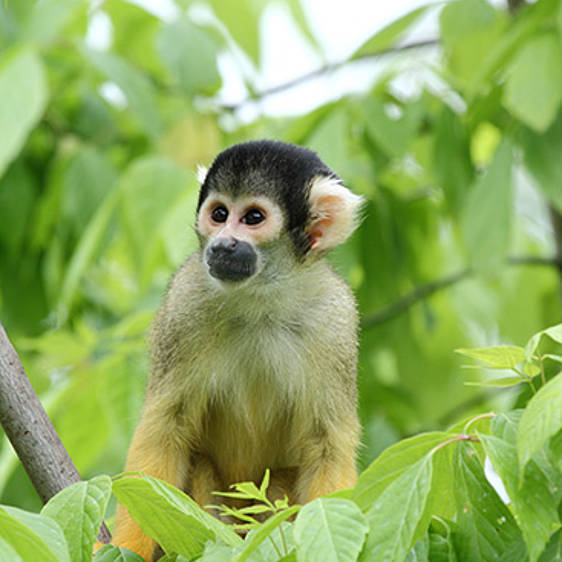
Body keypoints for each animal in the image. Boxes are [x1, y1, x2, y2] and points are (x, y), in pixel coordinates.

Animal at [114, 139, 364, 556]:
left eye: (253, 218)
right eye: (219, 214)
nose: (222, 244)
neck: (260, 301)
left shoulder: (335, 320)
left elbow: (326, 444)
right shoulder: (184, 299)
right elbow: (164, 430)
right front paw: (123, 548)